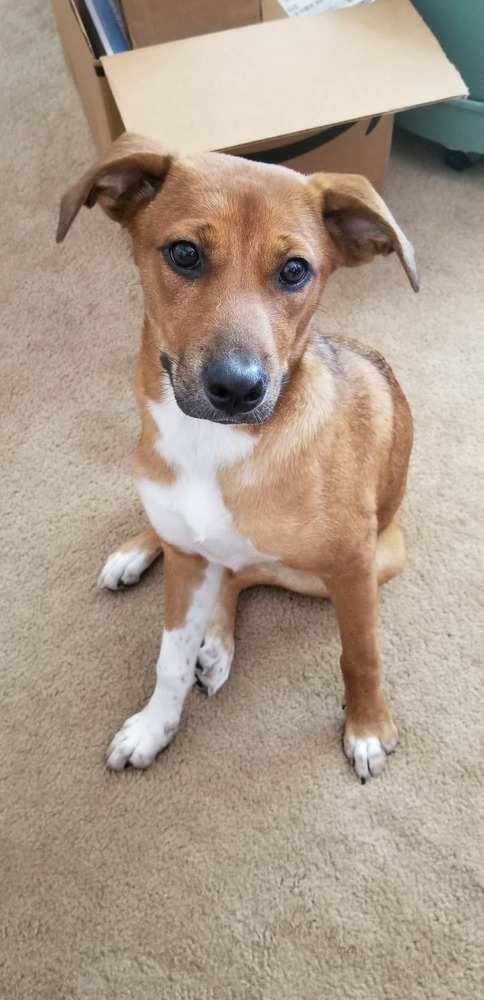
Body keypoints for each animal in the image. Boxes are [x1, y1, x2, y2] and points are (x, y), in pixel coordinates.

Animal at [56, 131, 418, 780]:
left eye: (295, 270)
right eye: (185, 254)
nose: (238, 388)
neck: (213, 445)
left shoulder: (354, 569)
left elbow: (361, 653)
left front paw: (368, 727)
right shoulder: (185, 560)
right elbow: (168, 659)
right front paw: (154, 725)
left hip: (375, 560)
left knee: (244, 569)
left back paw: (217, 638)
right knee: (218, 559)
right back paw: (145, 563)